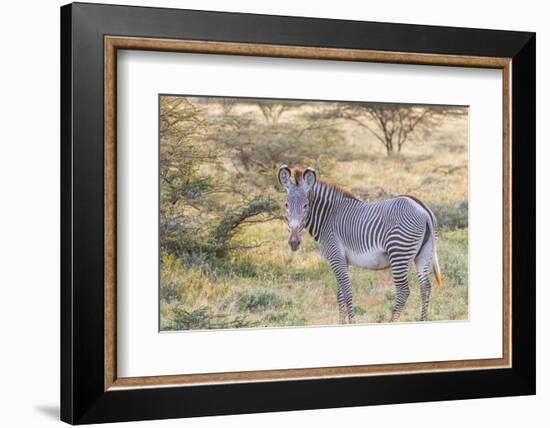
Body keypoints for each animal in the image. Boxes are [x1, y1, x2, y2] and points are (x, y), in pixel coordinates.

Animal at [280, 166, 444, 322]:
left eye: (306, 205)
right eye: (286, 205)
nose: (294, 242)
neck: (328, 218)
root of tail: (422, 209)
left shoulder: (335, 258)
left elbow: (347, 293)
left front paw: (352, 322)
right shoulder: (341, 261)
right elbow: (340, 296)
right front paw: (342, 323)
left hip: (399, 253)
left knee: (403, 291)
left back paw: (392, 321)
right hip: (423, 254)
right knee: (425, 287)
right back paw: (423, 320)